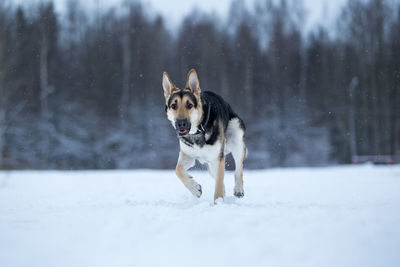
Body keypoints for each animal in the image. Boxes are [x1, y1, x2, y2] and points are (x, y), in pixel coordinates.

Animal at [162, 68, 247, 202]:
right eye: (174, 106)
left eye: (189, 105)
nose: (181, 123)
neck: (197, 132)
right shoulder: (188, 155)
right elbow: (178, 170)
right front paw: (195, 188)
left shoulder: (218, 158)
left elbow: (219, 185)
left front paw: (218, 203)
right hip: (211, 163)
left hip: (236, 137)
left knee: (238, 167)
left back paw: (238, 189)